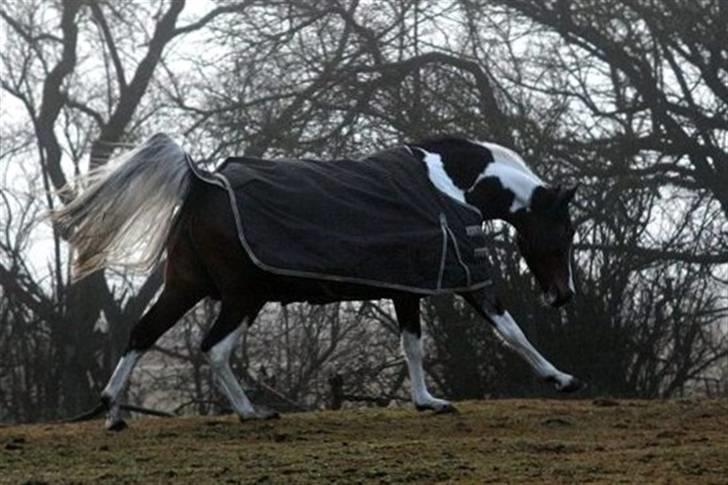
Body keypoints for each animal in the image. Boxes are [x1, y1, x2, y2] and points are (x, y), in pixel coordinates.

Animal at [53, 134, 581, 431]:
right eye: (564, 232)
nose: (564, 296)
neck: (447, 185)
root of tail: (203, 182)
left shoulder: (409, 288)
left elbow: (412, 345)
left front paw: (427, 402)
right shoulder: (457, 279)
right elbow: (509, 330)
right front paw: (562, 379)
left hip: (188, 286)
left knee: (142, 333)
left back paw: (114, 413)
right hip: (243, 296)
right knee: (214, 348)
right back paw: (251, 413)